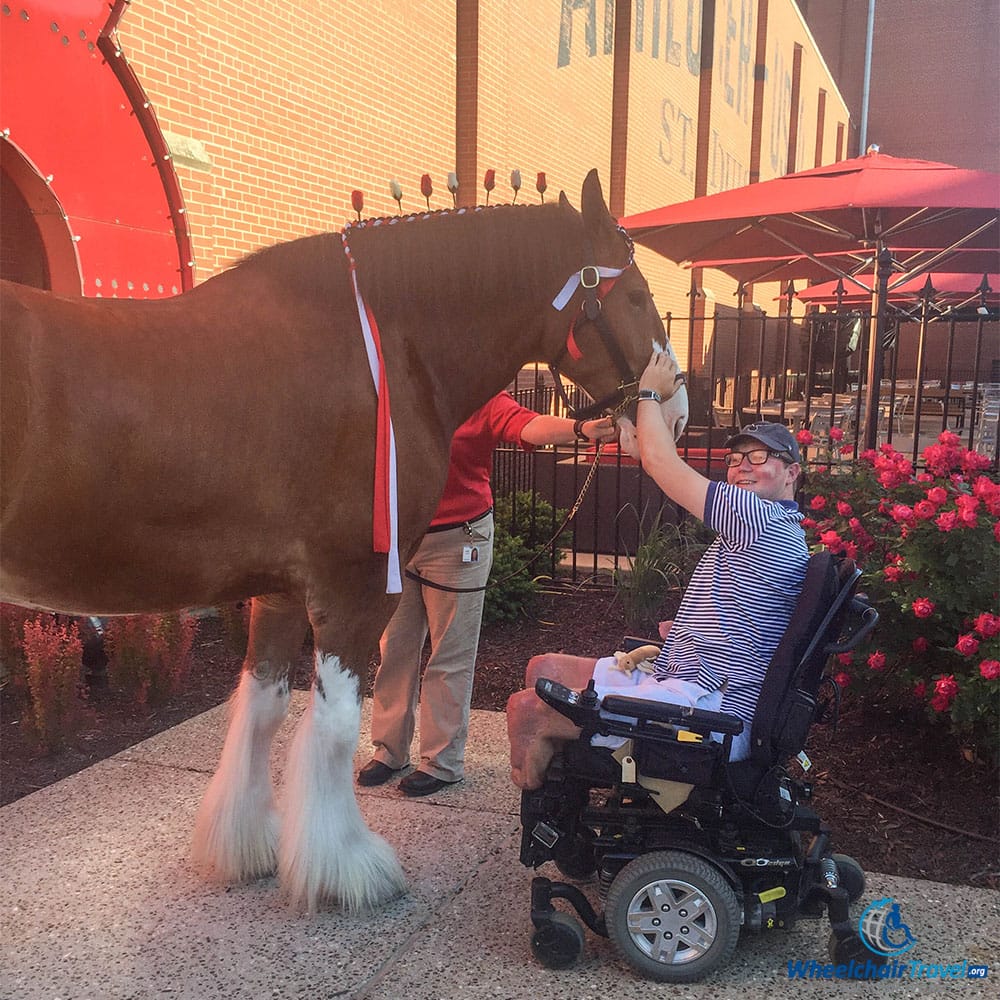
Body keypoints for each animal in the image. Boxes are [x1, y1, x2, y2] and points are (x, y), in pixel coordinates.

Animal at [0, 169, 689, 913]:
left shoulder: (277, 593)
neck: (386, 349)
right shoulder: (352, 587)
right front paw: (348, 869)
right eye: (636, 295)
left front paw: (247, 846)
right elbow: (332, 730)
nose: (679, 413)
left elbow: (262, 711)